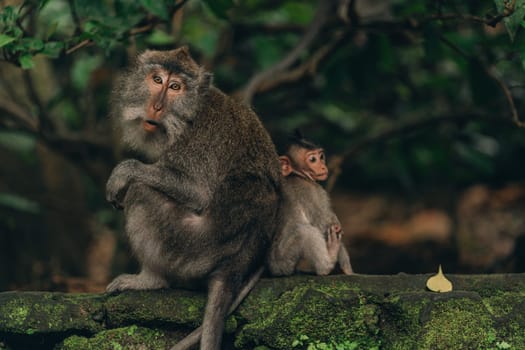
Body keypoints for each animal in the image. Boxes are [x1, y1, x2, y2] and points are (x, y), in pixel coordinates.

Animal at [106, 47, 282, 350]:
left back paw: (150, 279)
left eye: (175, 87)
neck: (189, 115)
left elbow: (198, 192)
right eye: (157, 80)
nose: (156, 107)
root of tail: (235, 264)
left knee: (141, 192)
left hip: (191, 251)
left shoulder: (196, 142)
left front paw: (126, 171)